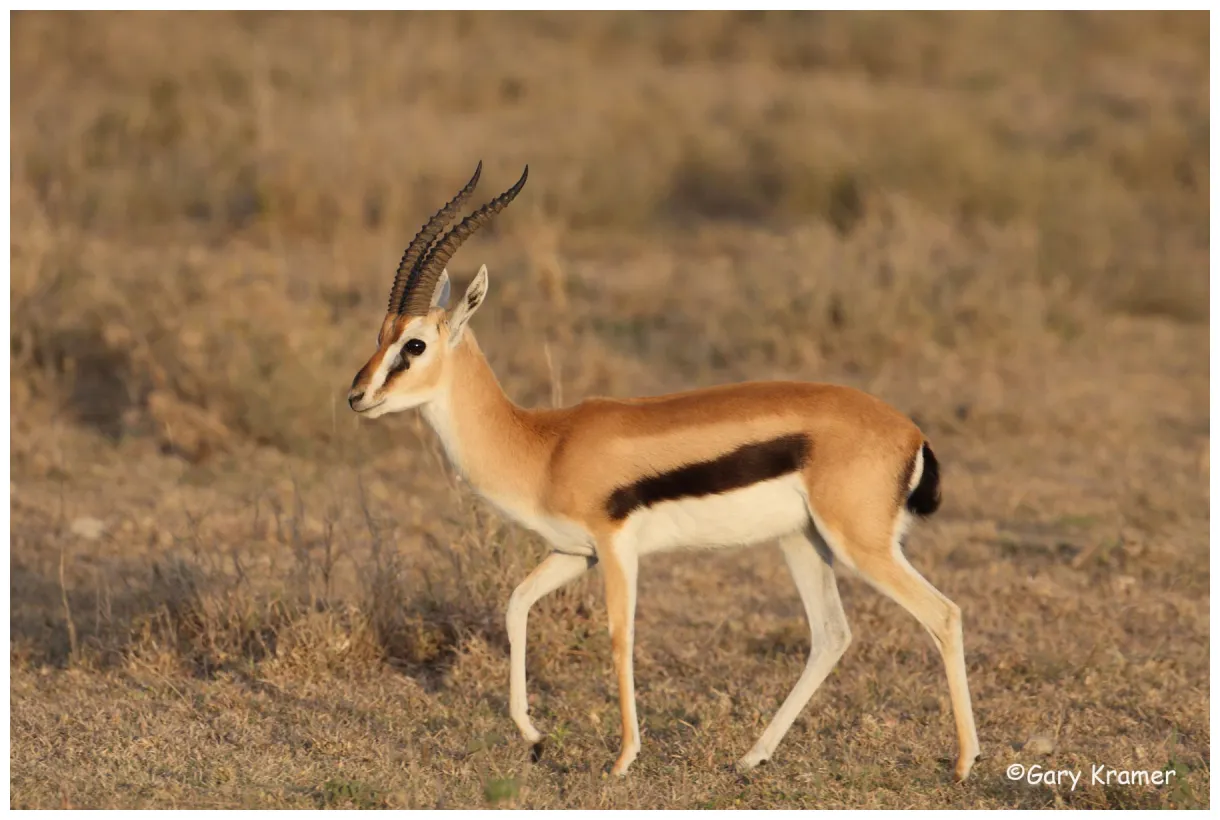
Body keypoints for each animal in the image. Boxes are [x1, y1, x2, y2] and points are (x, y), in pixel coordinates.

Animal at [347, 162, 980, 781]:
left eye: (414, 345)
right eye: (380, 335)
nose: (357, 396)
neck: (545, 445)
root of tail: (912, 434)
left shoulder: (615, 547)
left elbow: (619, 637)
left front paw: (623, 758)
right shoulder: (574, 552)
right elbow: (516, 604)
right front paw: (533, 736)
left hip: (860, 546)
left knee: (944, 614)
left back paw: (963, 762)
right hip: (802, 541)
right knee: (831, 634)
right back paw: (752, 757)